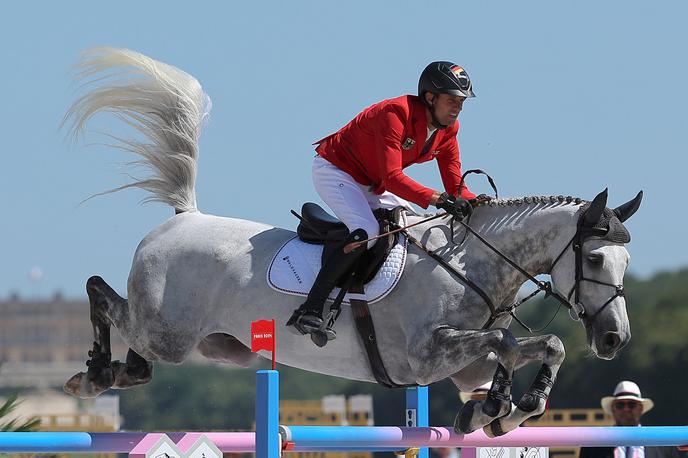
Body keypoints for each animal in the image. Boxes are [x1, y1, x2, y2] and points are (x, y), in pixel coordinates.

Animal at [63, 48, 640, 434]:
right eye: (594, 257)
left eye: (626, 263)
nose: (615, 340)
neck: (469, 266)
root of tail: (185, 218)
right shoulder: (425, 355)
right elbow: (504, 341)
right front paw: (497, 407)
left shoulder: (461, 363)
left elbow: (539, 345)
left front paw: (500, 410)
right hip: (169, 332)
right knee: (102, 294)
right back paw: (91, 374)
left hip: (220, 347)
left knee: (137, 353)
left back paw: (117, 370)